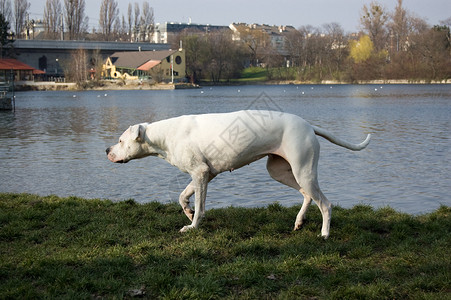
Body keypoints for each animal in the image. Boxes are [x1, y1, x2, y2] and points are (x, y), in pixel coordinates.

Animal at [107, 110, 370, 239]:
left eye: (120, 140)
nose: (107, 150)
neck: (164, 135)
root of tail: (309, 125)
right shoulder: (204, 175)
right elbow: (183, 196)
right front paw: (188, 212)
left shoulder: (201, 174)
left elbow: (200, 207)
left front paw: (193, 226)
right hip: (281, 172)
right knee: (307, 195)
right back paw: (299, 221)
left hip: (303, 171)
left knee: (325, 204)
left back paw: (324, 234)